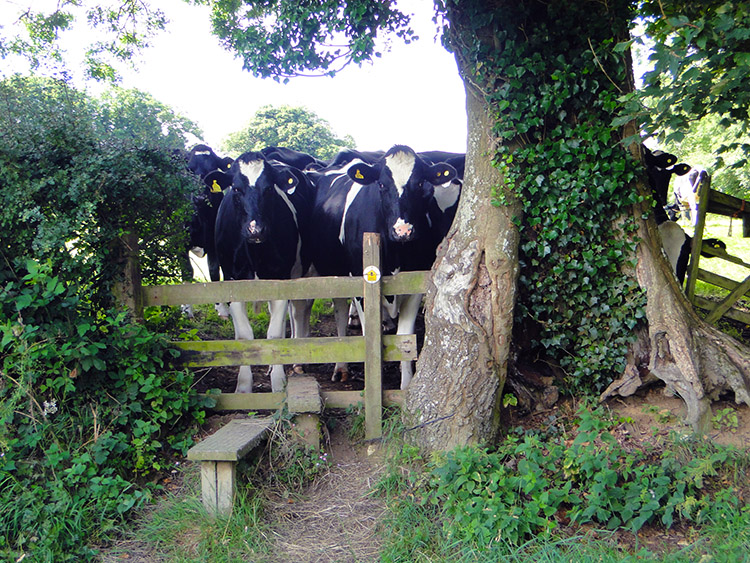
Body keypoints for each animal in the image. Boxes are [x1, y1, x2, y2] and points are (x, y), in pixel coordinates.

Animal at [214, 152, 318, 394]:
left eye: (269, 188)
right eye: (236, 188)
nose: (256, 230)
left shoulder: (280, 277)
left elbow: (275, 333)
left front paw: (278, 383)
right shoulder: (233, 280)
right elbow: (244, 336)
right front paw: (243, 387)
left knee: (298, 311)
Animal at [306, 145, 458, 388]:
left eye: (420, 184)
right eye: (381, 185)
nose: (403, 230)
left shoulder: (414, 285)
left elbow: (404, 336)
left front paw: (405, 383)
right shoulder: (360, 282)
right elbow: (369, 332)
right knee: (340, 312)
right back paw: (341, 367)